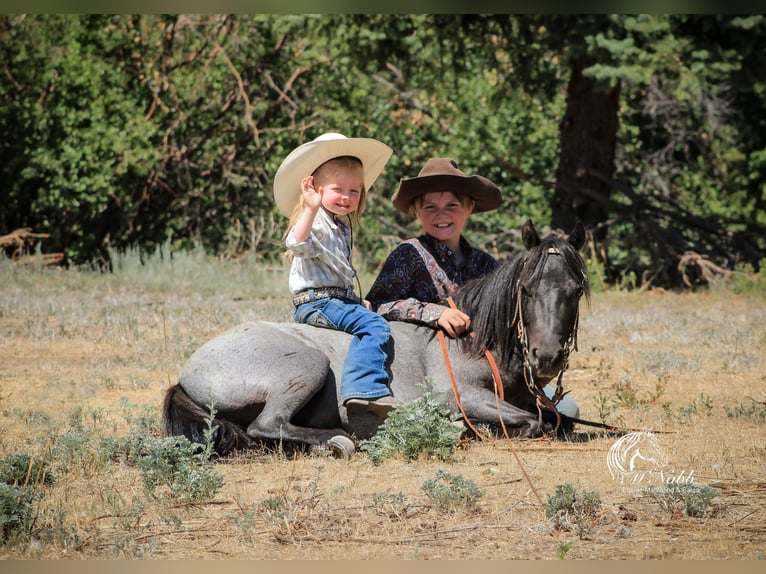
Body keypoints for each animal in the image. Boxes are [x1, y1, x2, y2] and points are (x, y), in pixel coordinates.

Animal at [162, 220, 592, 460]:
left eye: (575, 290)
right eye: (527, 289)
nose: (546, 358)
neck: (470, 342)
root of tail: (187, 374)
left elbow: (557, 420)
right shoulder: (463, 397)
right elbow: (532, 423)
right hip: (307, 366)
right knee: (267, 425)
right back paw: (340, 440)